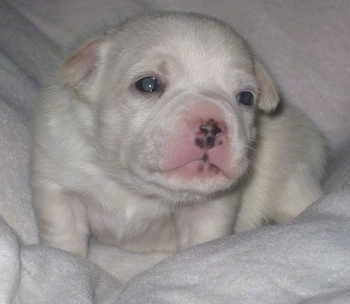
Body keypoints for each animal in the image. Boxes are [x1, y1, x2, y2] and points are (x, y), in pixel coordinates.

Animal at [30, 11, 326, 256]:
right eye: (148, 84)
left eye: (245, 97)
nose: (211, 124)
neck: (137, 187)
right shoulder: (58, 187)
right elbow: (63, 234)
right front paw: (68, 262)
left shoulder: (210, 210)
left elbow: (202, 242)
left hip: (294, 177)